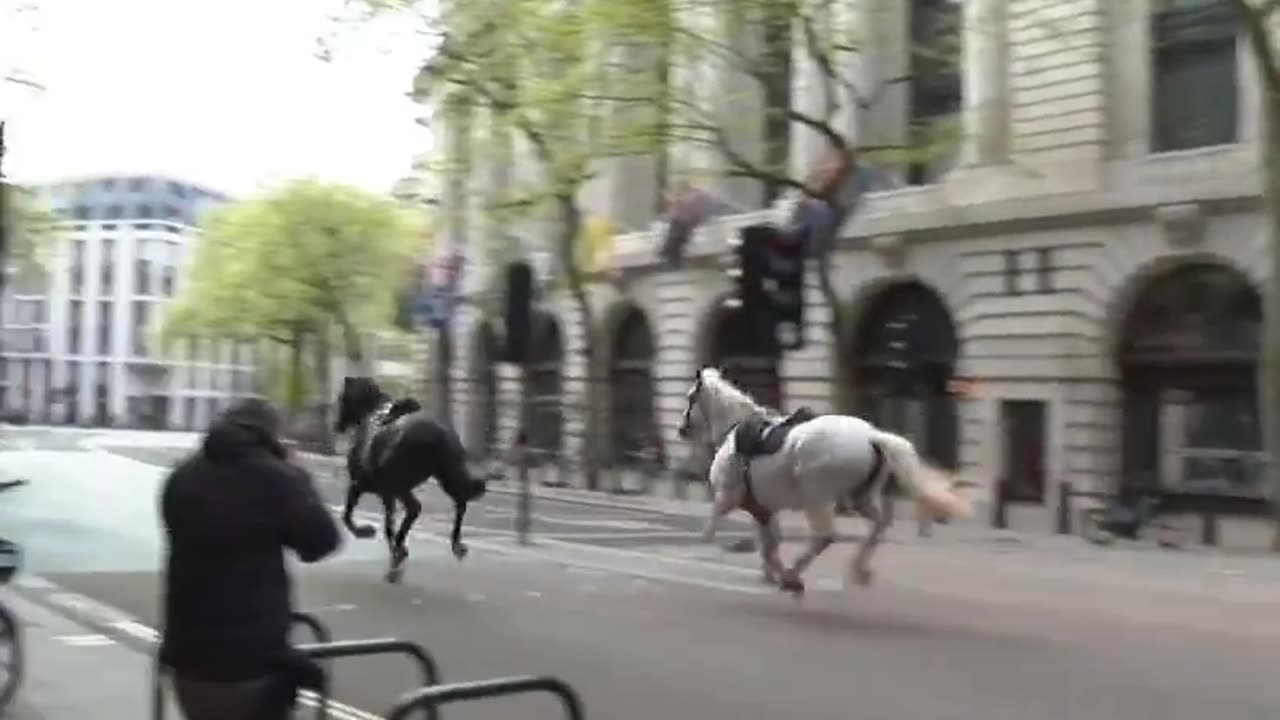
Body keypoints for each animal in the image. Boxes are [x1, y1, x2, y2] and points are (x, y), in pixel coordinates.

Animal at [332, 371, 491, 579]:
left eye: (342, 398)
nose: (337, 426)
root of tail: (437, 434)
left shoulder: (363, 485)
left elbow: (350, 516)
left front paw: (367, 533)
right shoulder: (384, 492)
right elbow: (387, 525)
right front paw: (397, 554)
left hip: (400, 485)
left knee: (416, 508)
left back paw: (401, 553)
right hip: (442, 477)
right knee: (458, 502)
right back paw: (455, 545)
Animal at [680, 366, 967, 591]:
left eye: (690, 397)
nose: (681, 429)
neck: (734, 431)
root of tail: (872, 436)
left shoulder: (726, 499)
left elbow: (713, 532)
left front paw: (778, 574)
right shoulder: (762, 509)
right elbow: (769, 543)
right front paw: (769, 574)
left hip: (817, 498)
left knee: (825, 536)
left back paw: (795, 575)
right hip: (859, 498)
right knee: (878, 525)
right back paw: (859, 570)